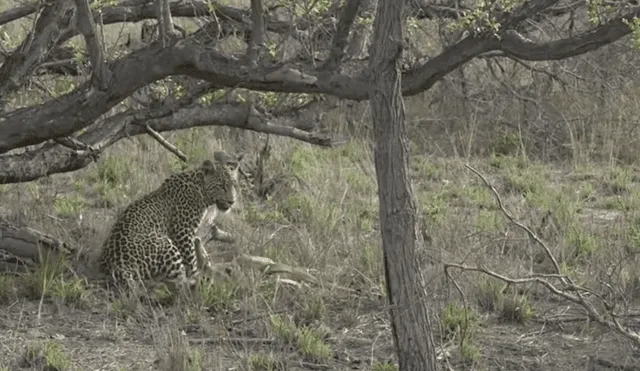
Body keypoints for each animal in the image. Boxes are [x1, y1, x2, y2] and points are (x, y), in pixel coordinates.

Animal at [97, 150, 242, 294]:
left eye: (235, 186)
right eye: (222, 186)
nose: (232, 201)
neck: (201, 190)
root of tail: (118, 266)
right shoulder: (182, 231)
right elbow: (191, 258)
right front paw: (196, 272)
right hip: (165, 244)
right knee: (181, 282)